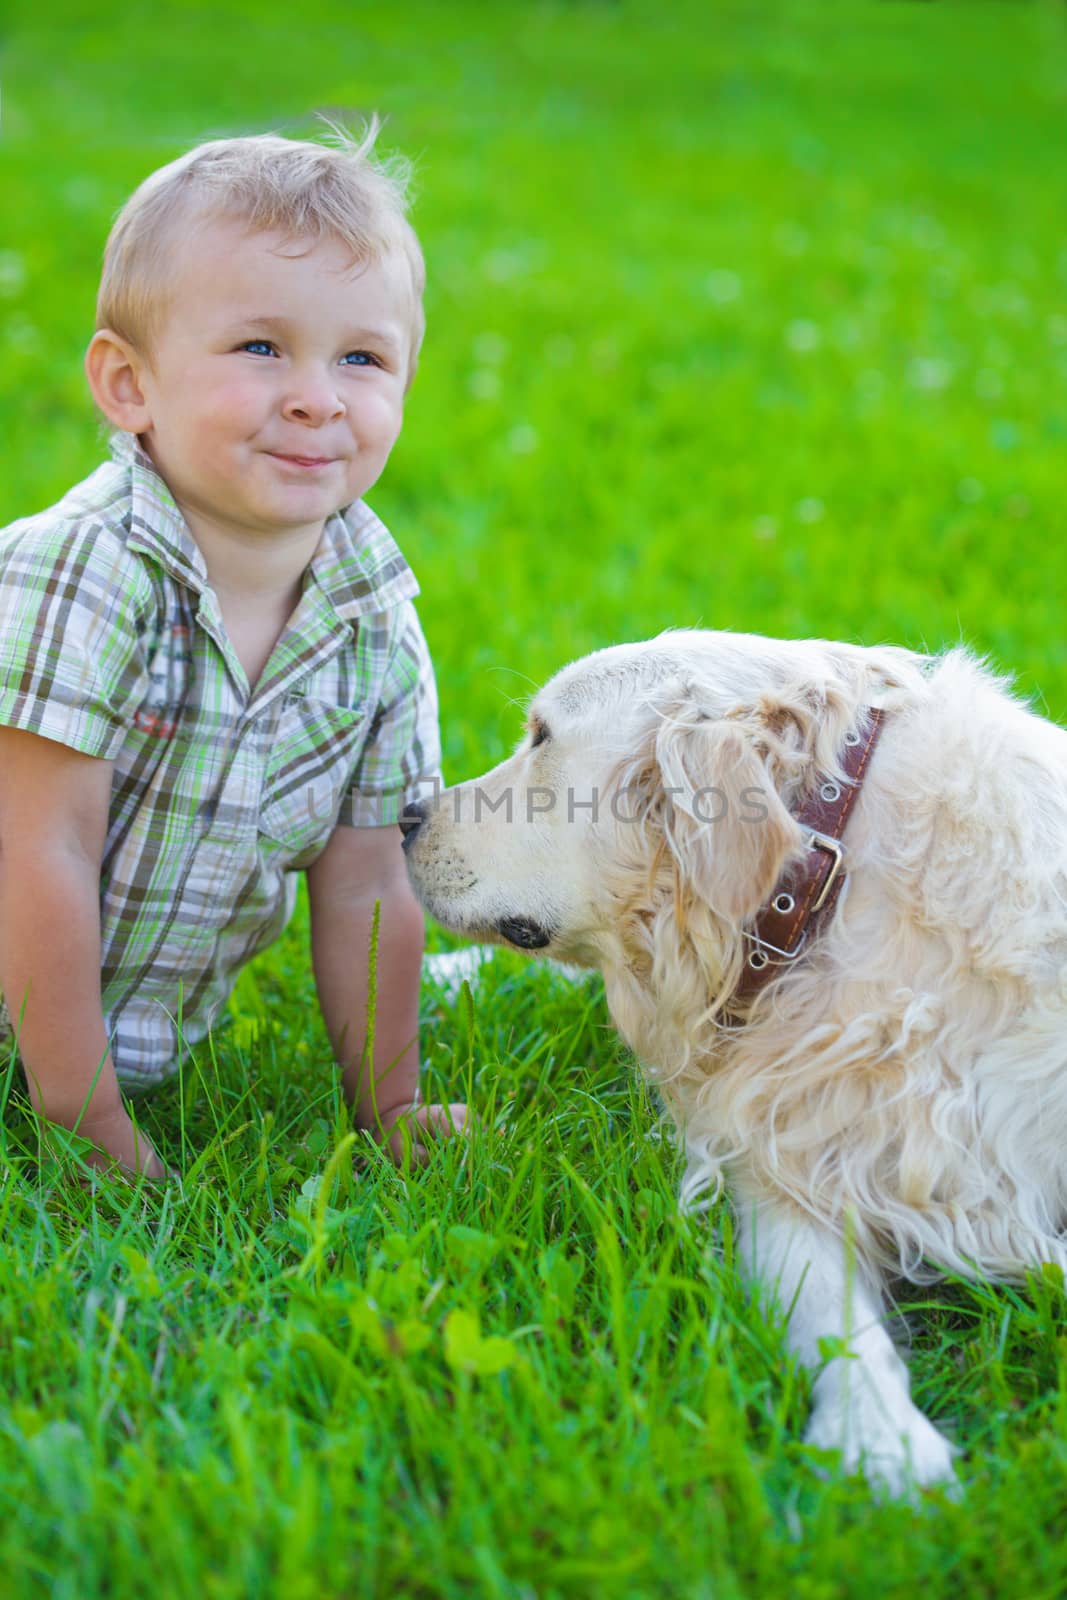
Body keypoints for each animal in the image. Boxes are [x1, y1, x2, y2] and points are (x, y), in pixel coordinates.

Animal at [399, 630, 1067, 1491]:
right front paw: (879, 1438)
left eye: (542, 737)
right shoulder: (786, 1167)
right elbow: (832, 1318)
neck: (830, 889)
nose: (404, 816)